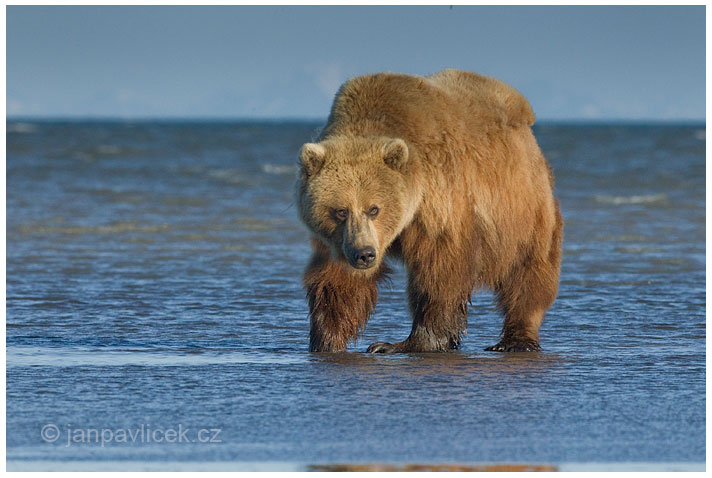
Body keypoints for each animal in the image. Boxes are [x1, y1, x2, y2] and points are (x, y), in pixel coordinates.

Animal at [294, 68, 560, 352]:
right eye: (341, 211)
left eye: (374, 209)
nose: (364, 254)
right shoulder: (339, 240)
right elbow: (336, 280)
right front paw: (326, 340)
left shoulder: (440, 198)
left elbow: (440, 269)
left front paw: (402, 343)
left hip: (522, 203)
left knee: (527, 269)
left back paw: (515, 339)